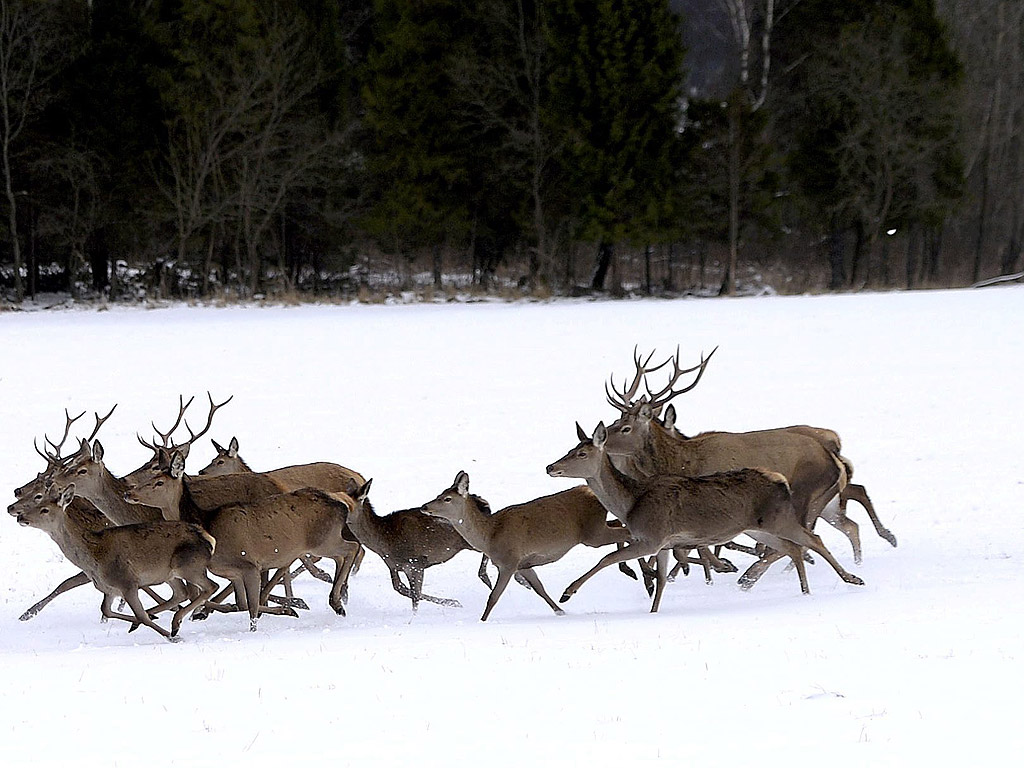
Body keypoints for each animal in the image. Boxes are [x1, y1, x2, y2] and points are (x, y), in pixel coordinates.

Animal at [9, 481, 218, 643]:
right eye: (37, 503)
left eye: (44, 509)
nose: (21, 517)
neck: (93, 559)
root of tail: (208, 538)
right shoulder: (109, 588)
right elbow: (106, 610)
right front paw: (140, 622)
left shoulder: (127, 581)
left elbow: (141, 616)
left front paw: (172, 636)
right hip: (169, 573)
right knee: (181, 593)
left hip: (189, 565)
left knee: (209, 587)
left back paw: (175, 623)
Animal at [124, 450, 364, 630]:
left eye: (159, 482)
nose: (129, 492)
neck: (208, 523)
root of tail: (343, 502)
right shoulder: (234, 573)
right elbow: (242, 604)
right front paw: (287, 609)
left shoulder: (249, 564)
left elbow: (252, 608)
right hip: (324, 540)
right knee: (343, 556)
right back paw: (339, 599)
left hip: (323, 540)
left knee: (352, 548)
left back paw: (336, 601)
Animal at [417, 473, 630, 622]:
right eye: (439, 494)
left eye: (447, 499)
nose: (424, 506)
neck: (490, 536)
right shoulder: (524, 565)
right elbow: (540, 589)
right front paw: (561, 611)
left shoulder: (509, 561)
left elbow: (493, 597)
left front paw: (482, 621)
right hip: (597, 528)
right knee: (620, 525)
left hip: (592, 533)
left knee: (626, 532)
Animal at [544, 421, 864, 614]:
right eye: (570, 449)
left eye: (582, 453)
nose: (550, 466)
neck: (631, 504)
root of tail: (780, 480)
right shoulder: (664, 544)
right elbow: (661, 579)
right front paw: (653, 611)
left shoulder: (652, 537)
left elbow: (607, 558)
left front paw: (567, 593)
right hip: (759, 527)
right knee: (793, 547)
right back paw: (802, 590)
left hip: (779, 517)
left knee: (813, 539)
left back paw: (852, 578)